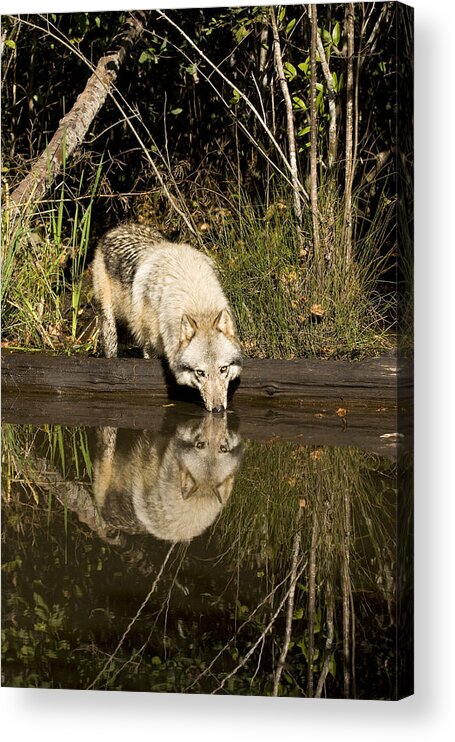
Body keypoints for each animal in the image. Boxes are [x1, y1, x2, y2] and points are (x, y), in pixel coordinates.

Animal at [91, 224, 244, 416]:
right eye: (200, 372)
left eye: (223, 369)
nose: (218, 409)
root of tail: (118, 228)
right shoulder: (150, 347)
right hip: (109, 321)